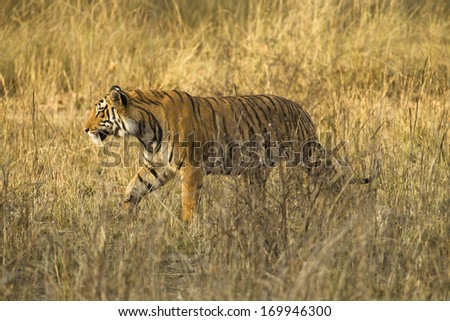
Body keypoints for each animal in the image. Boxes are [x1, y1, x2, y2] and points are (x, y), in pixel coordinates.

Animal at [82, 85, 370, 220]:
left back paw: (342, 207)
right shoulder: (158, 165)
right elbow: (133, 187)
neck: (144, 128)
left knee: (333, 180)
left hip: (308, 155)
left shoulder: (191, 167)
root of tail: (300, 108)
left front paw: (188, 229)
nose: (85, 129)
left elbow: (188, 201)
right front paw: (124, 216)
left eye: (99, 111)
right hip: (257, 171)